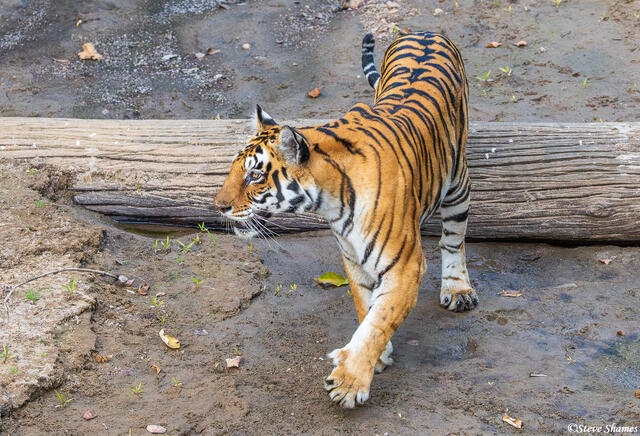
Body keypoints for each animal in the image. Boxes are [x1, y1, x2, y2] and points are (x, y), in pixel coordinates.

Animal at [214, 31, 477, 408]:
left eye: (254, 176)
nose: (218, 206)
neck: (331, 201)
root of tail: (425, 32)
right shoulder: (353, 258)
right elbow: (366, 307)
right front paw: (376, 356)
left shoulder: (405, 265)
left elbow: (380, 319)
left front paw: (350, 381)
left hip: (457, 183)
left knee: (453, 239)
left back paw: (458, 289)